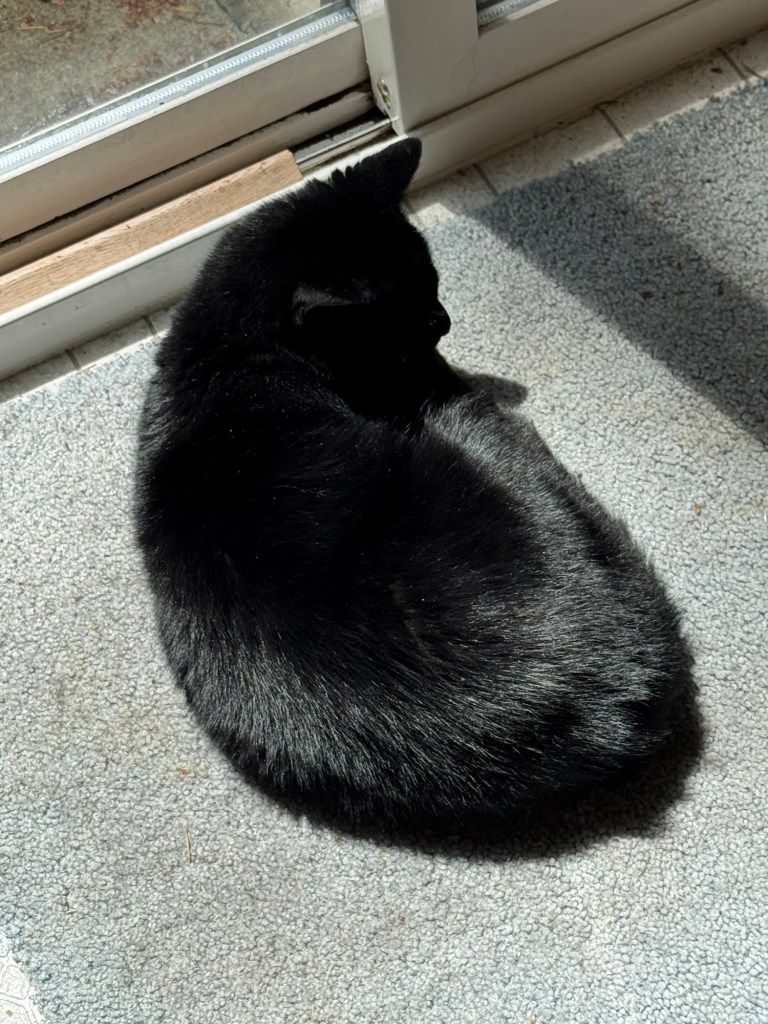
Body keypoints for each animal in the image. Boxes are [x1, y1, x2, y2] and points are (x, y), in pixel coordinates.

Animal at [135, 138, 688, 826]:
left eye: (434, 284)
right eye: (405, 322)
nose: (443, 323)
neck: (232, 359)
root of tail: (613, 718)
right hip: (470, 437)